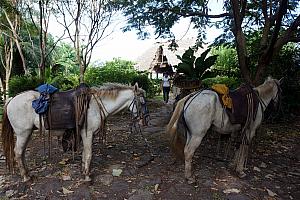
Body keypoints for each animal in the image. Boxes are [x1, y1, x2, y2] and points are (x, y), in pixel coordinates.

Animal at [1, 82, 147, 182]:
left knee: (22, 153)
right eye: (143, 103)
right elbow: (89, 154)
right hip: (22, 133)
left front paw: (83, 171)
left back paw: (28, 173)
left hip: (27, 133)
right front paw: (87, 176)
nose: (145, 121)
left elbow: (84, 154)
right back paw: (25, 176)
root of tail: (11, 99)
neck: (96, 105)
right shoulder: (88, 133)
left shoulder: (85, 135)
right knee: (18, 152)